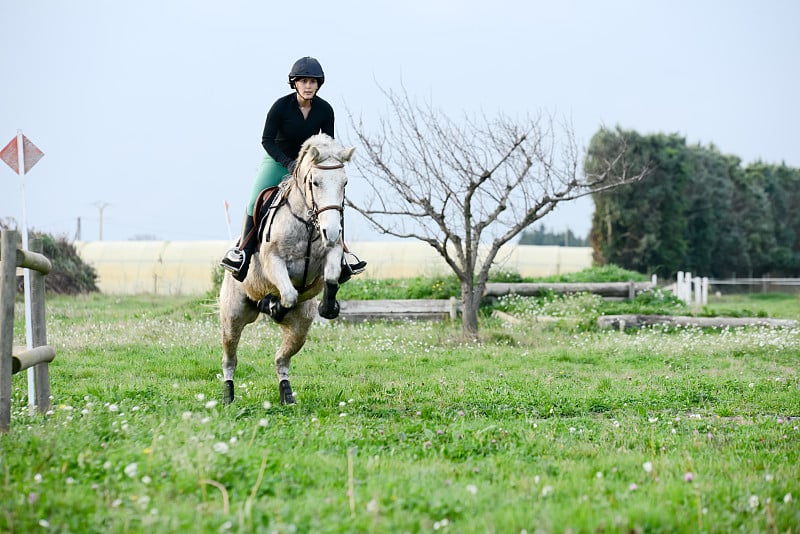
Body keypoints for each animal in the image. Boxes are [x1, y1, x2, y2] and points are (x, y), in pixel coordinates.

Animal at [219, 134, 356, 406]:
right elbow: (290, 293)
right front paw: (274, 304)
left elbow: (331, 278)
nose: (332, 231)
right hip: (233, 316)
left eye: (344, 182)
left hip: (300, 327)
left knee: (281, 359)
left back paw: (287, 393)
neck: (309, 222)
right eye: (315, 182)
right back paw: (228, 395)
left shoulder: (333, 252)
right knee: (230, 359)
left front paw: (328, 307)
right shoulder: (273, 260)